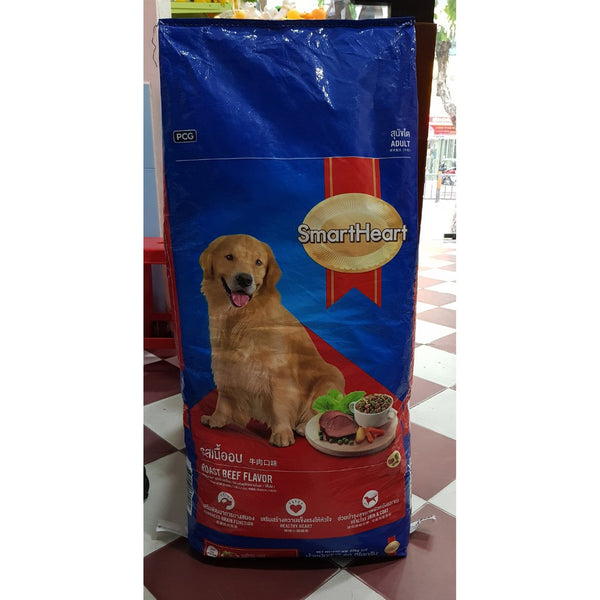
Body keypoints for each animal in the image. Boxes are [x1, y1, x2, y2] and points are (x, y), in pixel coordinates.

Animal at [199, 234, 345, 446]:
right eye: (229, 257)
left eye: (258, 262)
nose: (245, 279)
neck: (241, 319)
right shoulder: (225, 365)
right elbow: (224, 398)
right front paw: (216, 419)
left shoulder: (278, 373)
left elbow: (279, 405)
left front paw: (282, 433)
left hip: (330, 378)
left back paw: (302, 427)